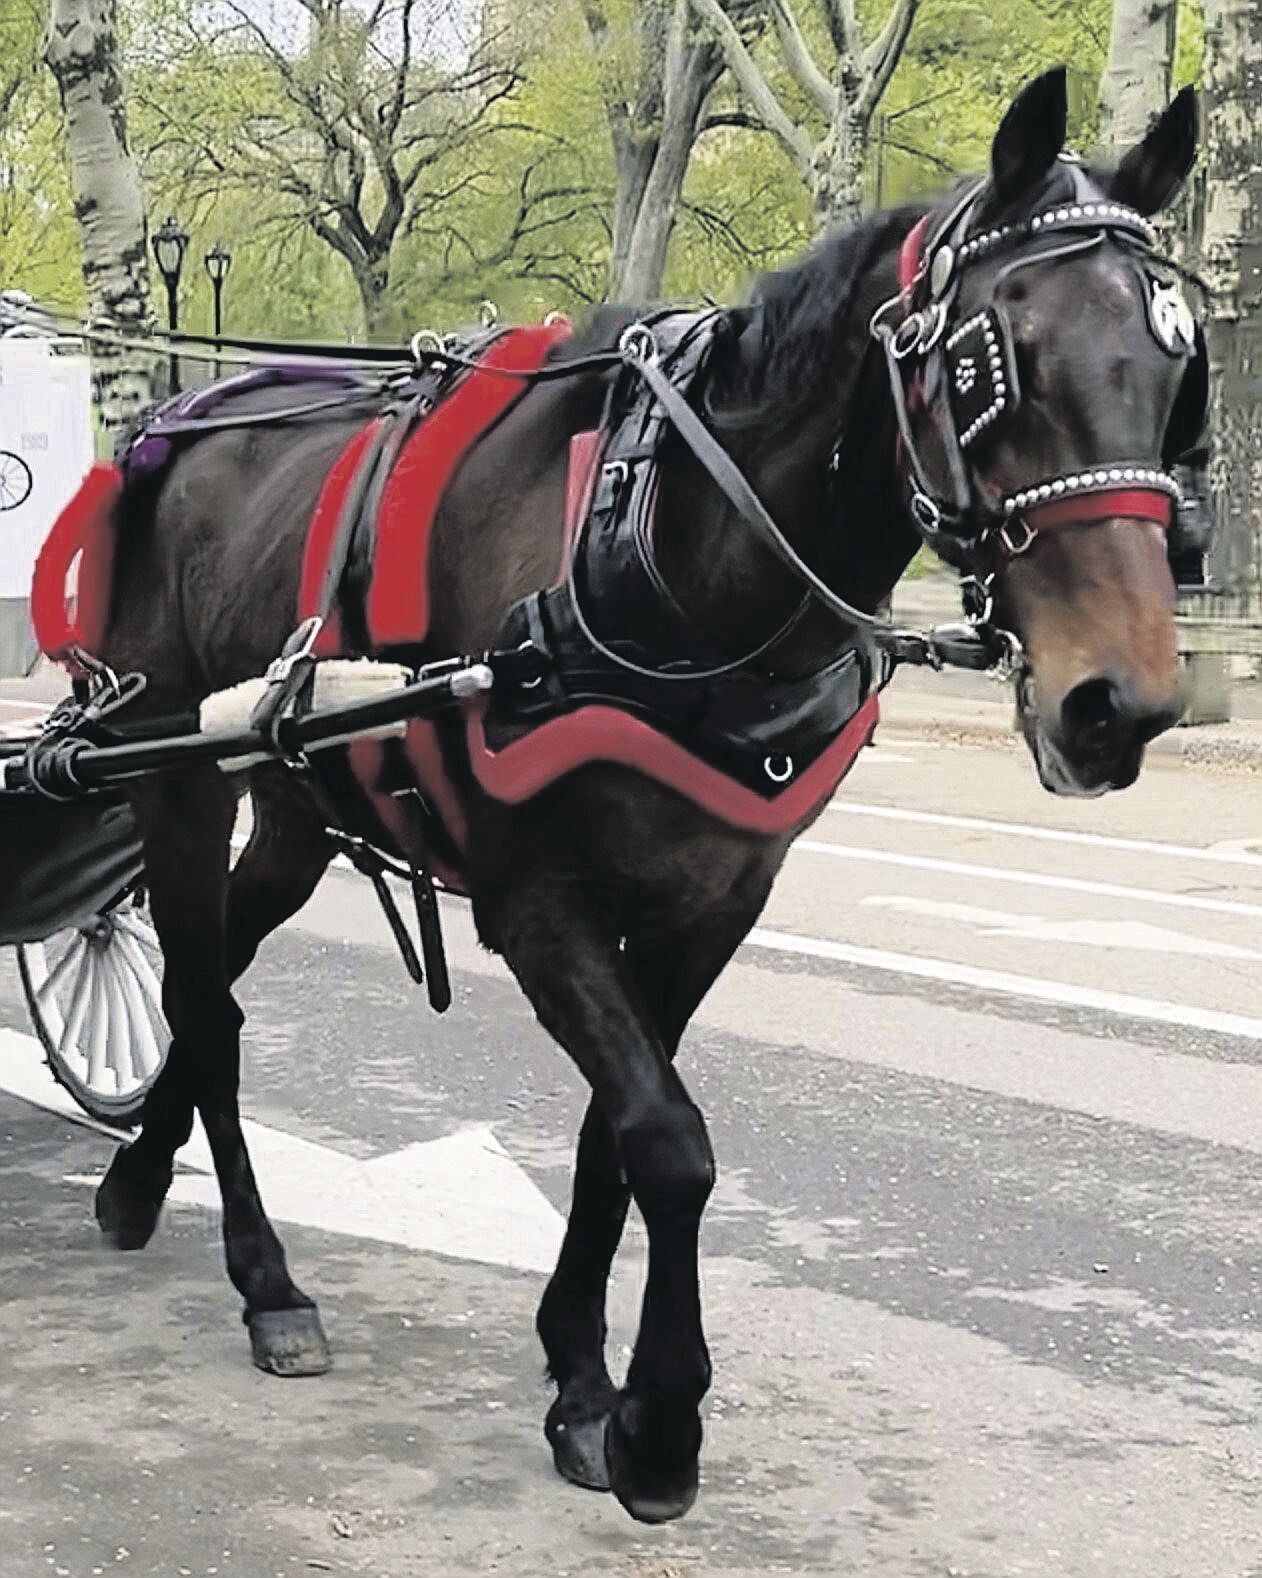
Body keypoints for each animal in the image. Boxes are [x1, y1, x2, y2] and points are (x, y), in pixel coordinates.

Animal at [81, 67, 1205, 1521]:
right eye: (987, 364)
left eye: (1176, 365)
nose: (1118, 704)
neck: (669, 546)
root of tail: (178, 418)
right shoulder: (534, 901)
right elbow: (668, 1140)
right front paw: (657, 1422)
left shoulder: (707, 902)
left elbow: (611, 1138)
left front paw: (578, 1377)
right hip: (166, 771)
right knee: (205, 1007)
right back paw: (264, 1276)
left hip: (296, 808)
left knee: (214, 974)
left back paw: (137, 1176)